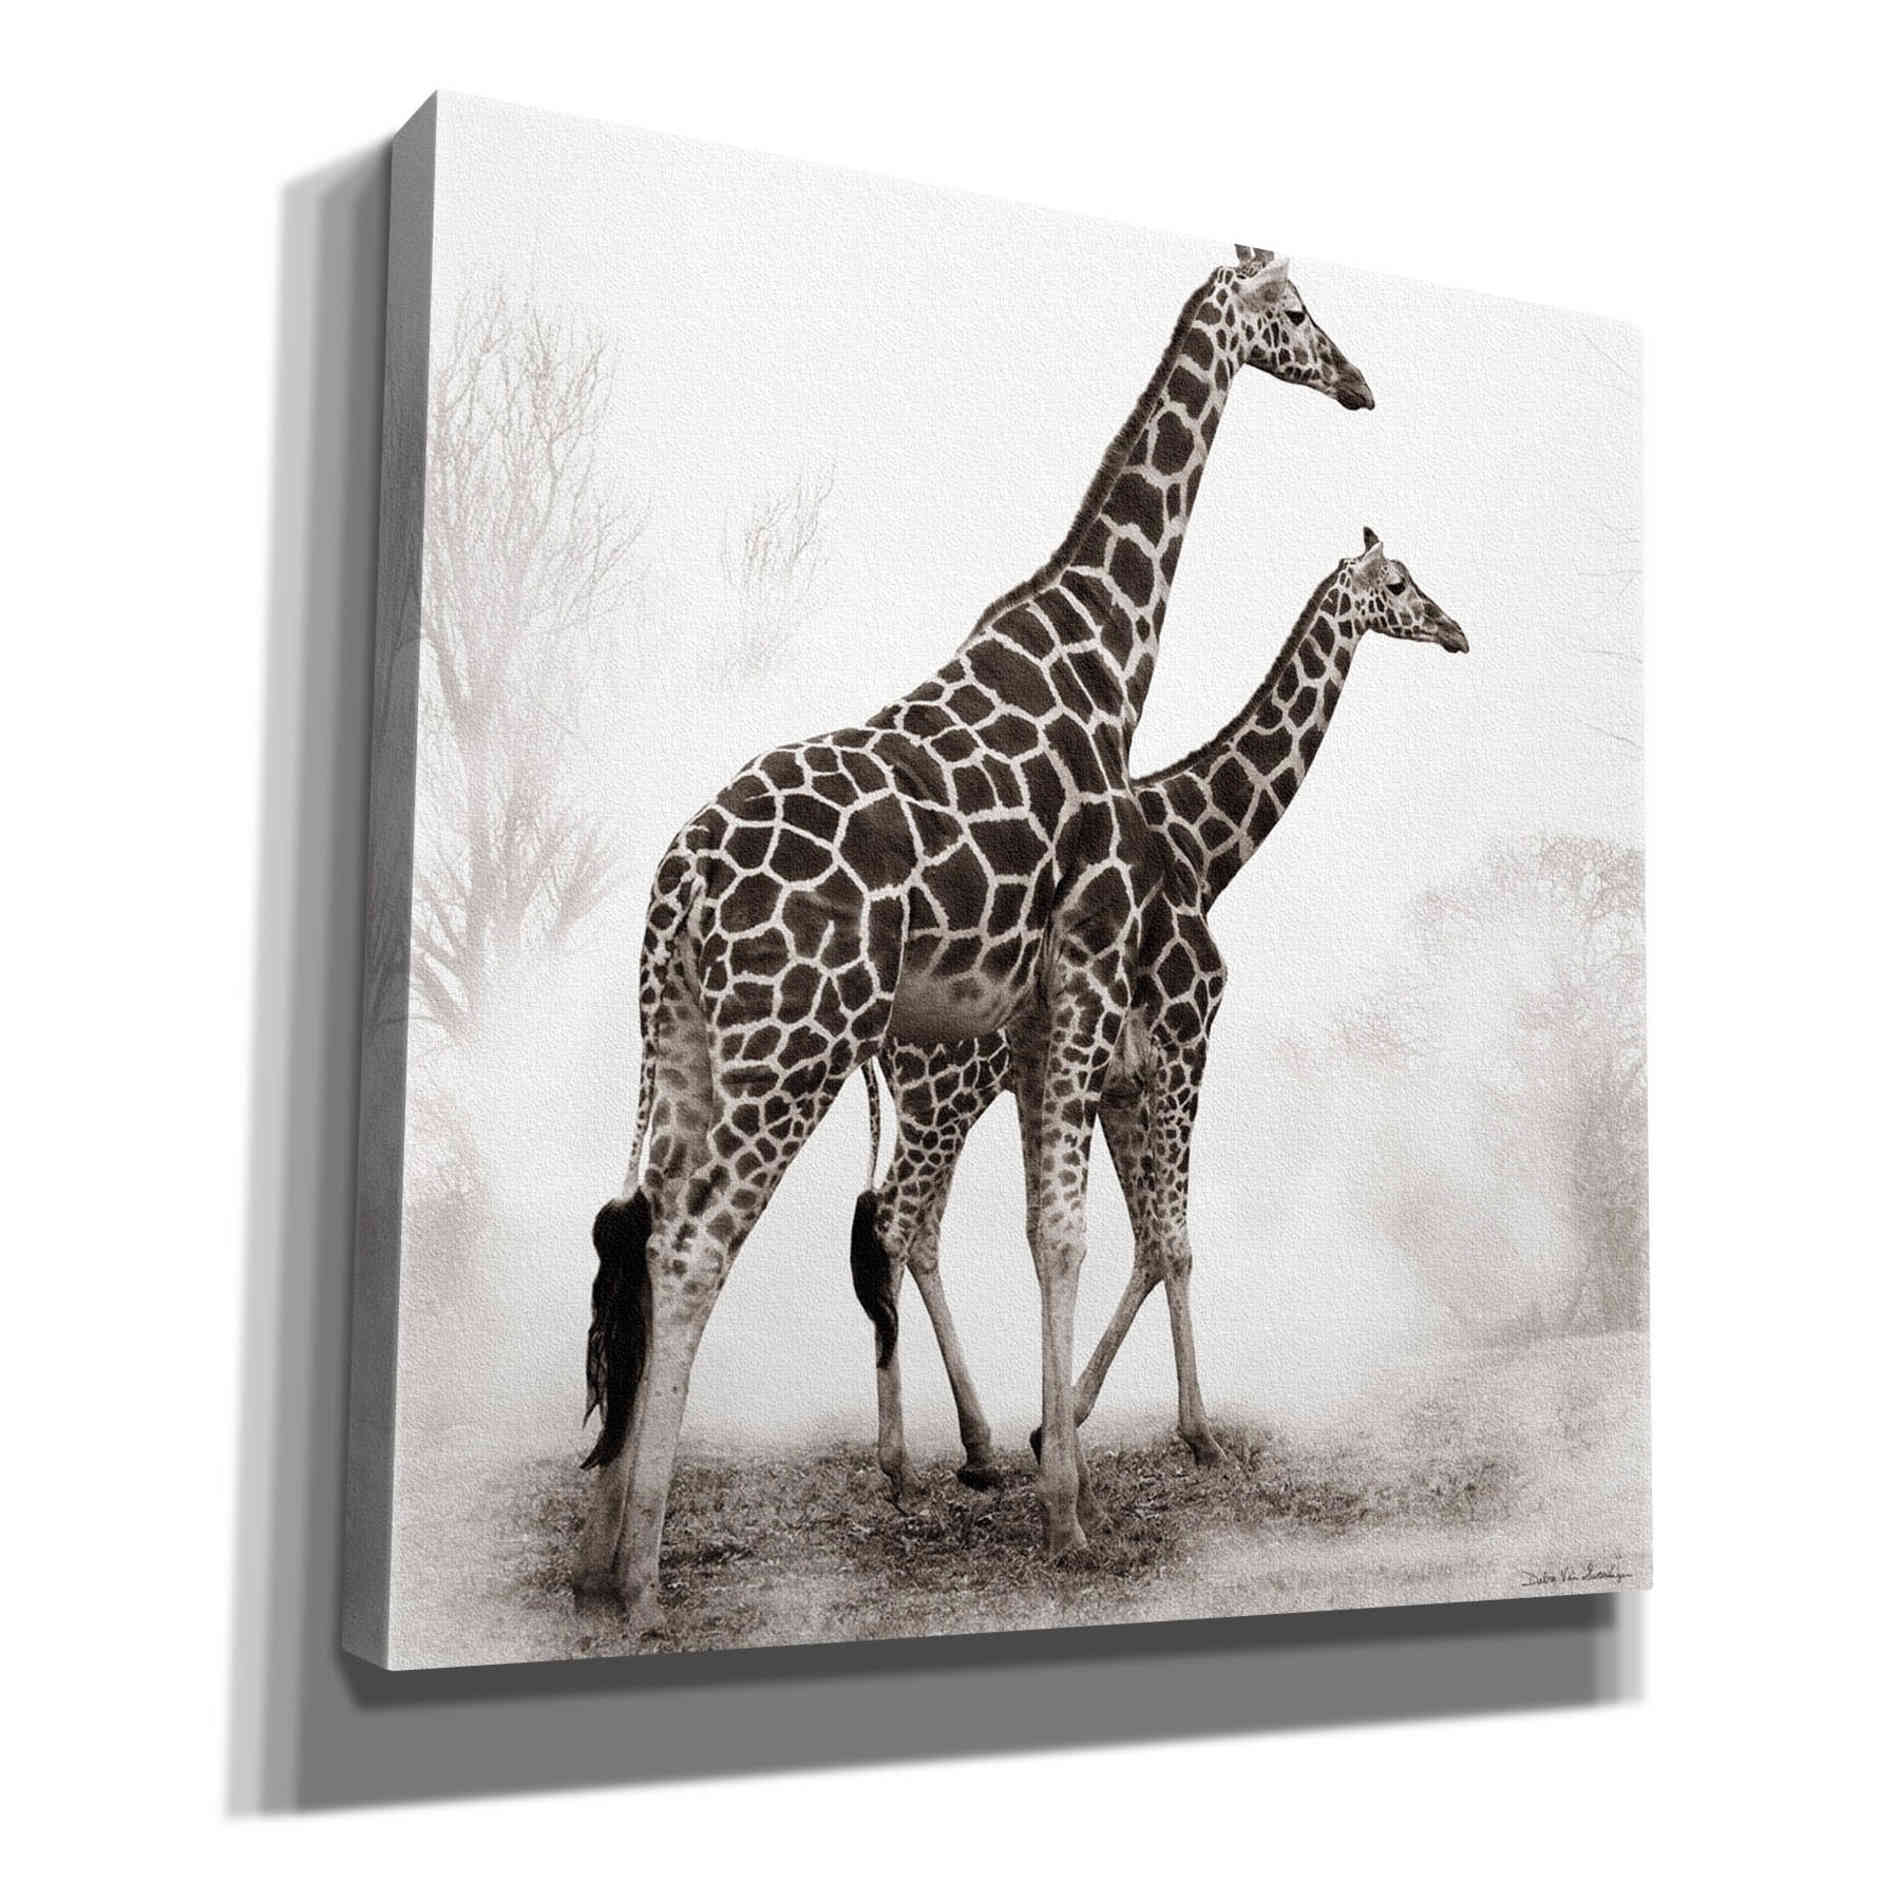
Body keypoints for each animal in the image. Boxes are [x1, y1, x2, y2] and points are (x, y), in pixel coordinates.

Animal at [576, 247, 1375, 1629]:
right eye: (1292, 310)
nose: (1359, 384)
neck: (1105, 661)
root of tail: (673, 888)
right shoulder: (1090, 974)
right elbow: (1077, 1233)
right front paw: (1068, 1509)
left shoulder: (1045, 1010)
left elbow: (1058, 1232)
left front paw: (1054, 1473)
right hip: (794, 1046)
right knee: (697, 1249)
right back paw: (642, 1581)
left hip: (690, 1044)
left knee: (646, 1225)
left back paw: (601, 1546)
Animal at [851, 529, 1467, 1506]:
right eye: (1401, 583)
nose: (1456, 632)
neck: (1204, 849)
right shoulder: (1184, 1043)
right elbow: (1173, 1244)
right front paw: (1196, 1433)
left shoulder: (1120, 1083)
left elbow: (1139, 1242)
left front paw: (1055, 1425)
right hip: (946, 1094)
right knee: (895, 1226)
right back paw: (902, 1459)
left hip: (942, 1101)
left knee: (920, 1235)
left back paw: (976, 1447)